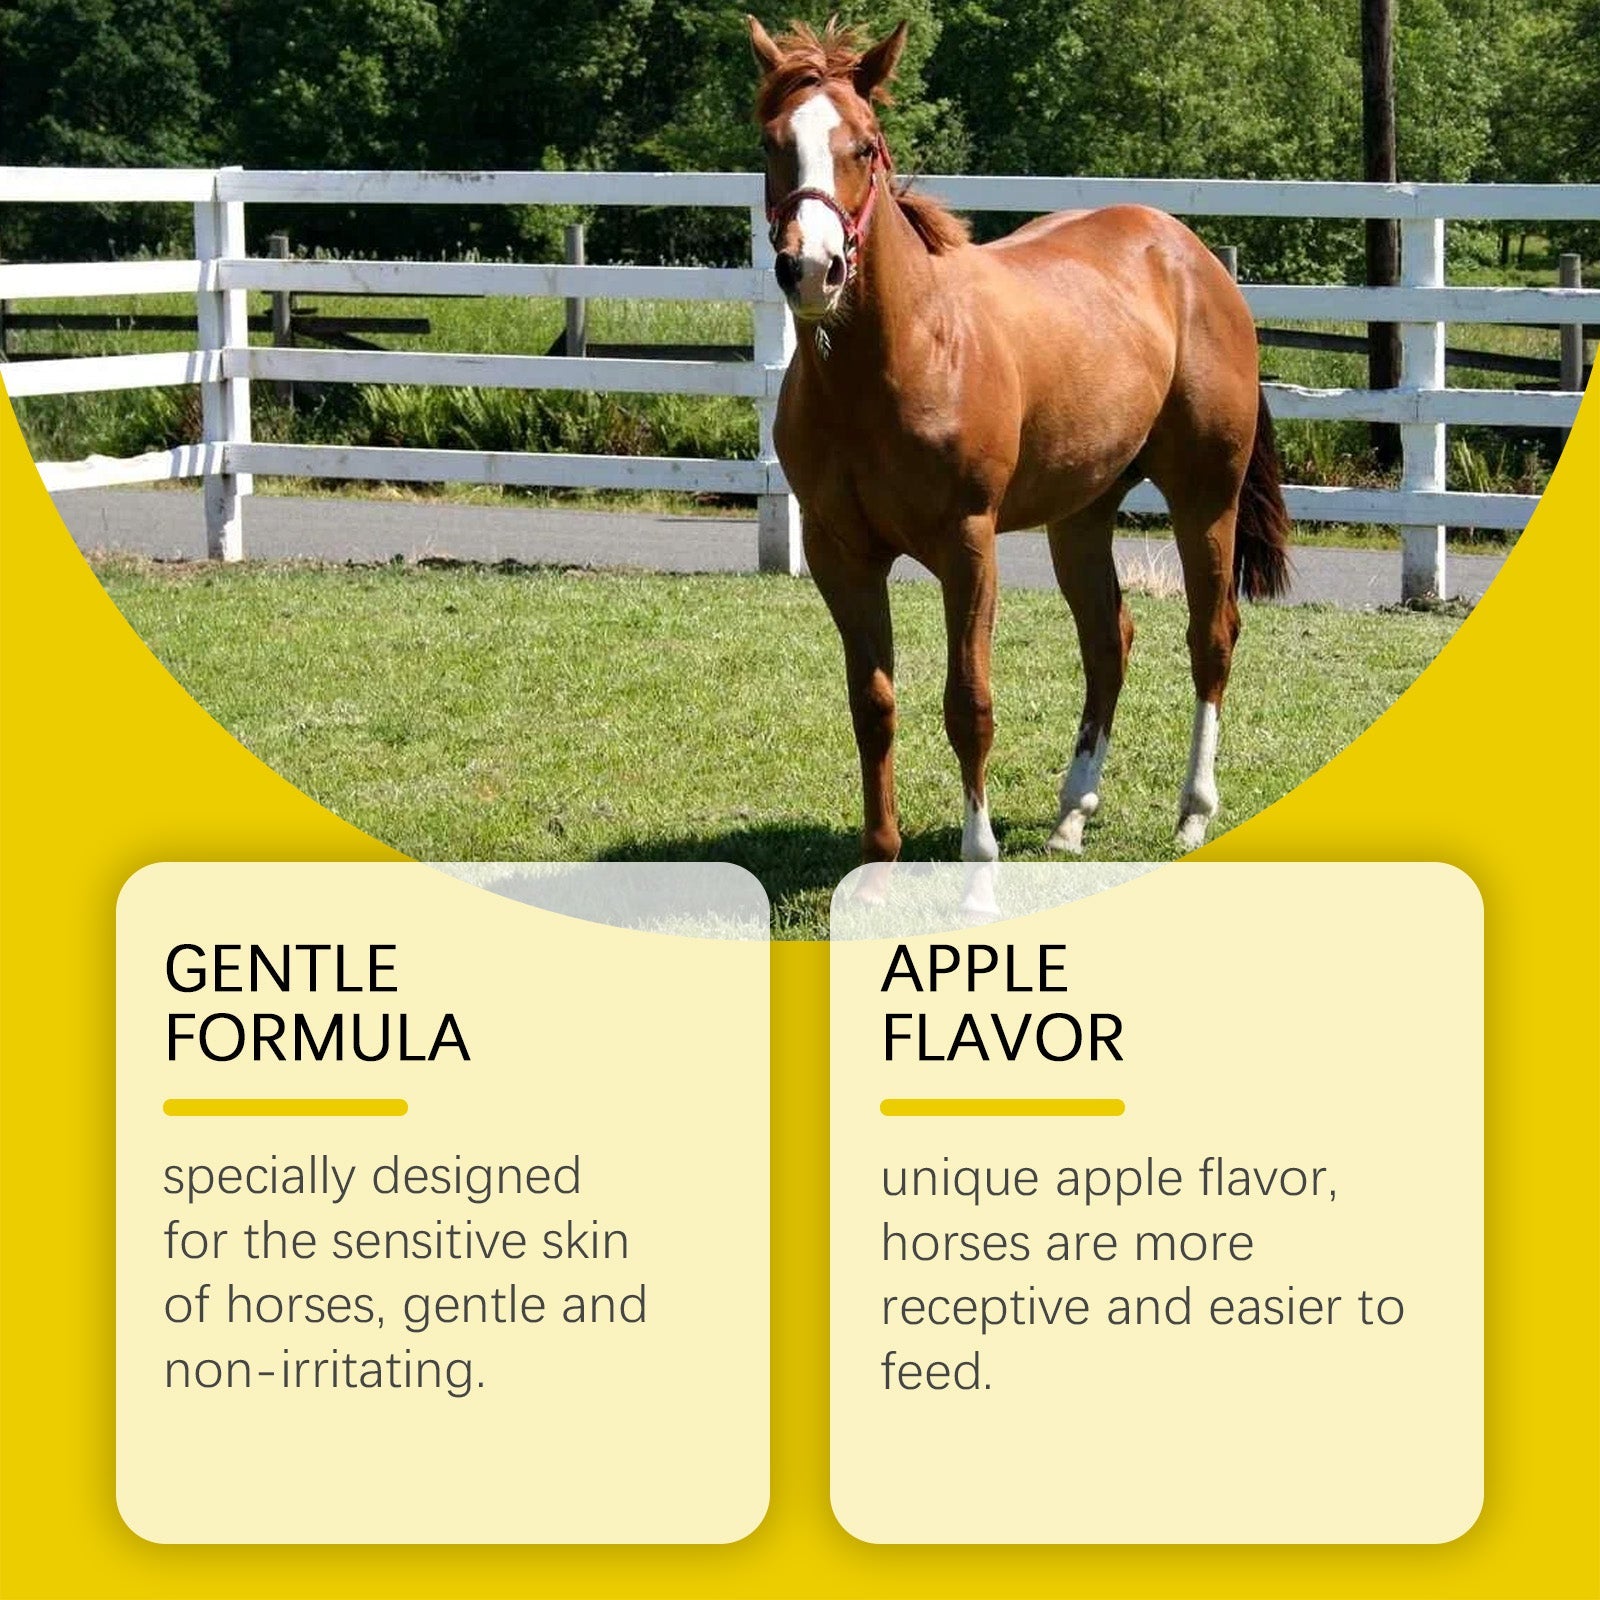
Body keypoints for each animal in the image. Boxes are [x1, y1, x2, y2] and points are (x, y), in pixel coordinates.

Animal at [748, 16, 1291, 864]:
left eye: (864, 145)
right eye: (773, 143)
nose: (811, 268)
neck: (898, 357)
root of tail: (1192, 257)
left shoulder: (968, 546)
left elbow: (968, 703)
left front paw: (979, 854)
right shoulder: (843, 554)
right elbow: (873, 705)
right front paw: (877, 861)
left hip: (1206, 498)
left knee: (1213, 637)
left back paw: (1193, 812)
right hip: (1082, 516)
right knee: (1109, 641)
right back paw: (1072, 814)